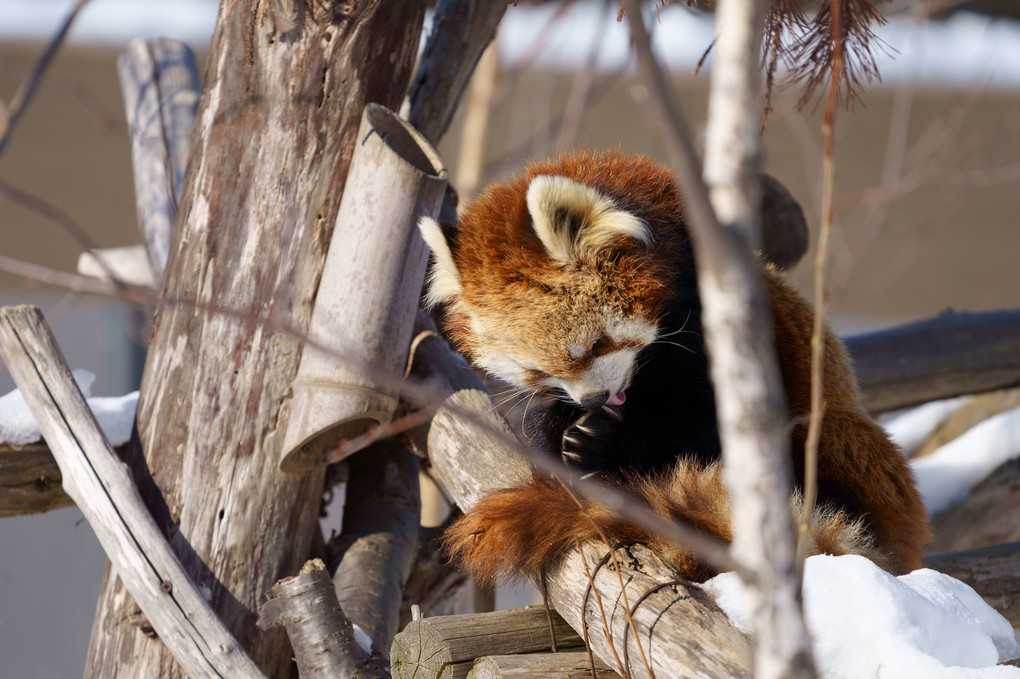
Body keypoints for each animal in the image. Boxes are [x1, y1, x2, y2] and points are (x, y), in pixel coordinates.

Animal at [416, 147, 934, 583]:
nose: (596, 398)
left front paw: (602, 441)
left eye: (595, 346)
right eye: (539, 372)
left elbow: (700, 430)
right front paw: (570, 437)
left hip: (860, 461)